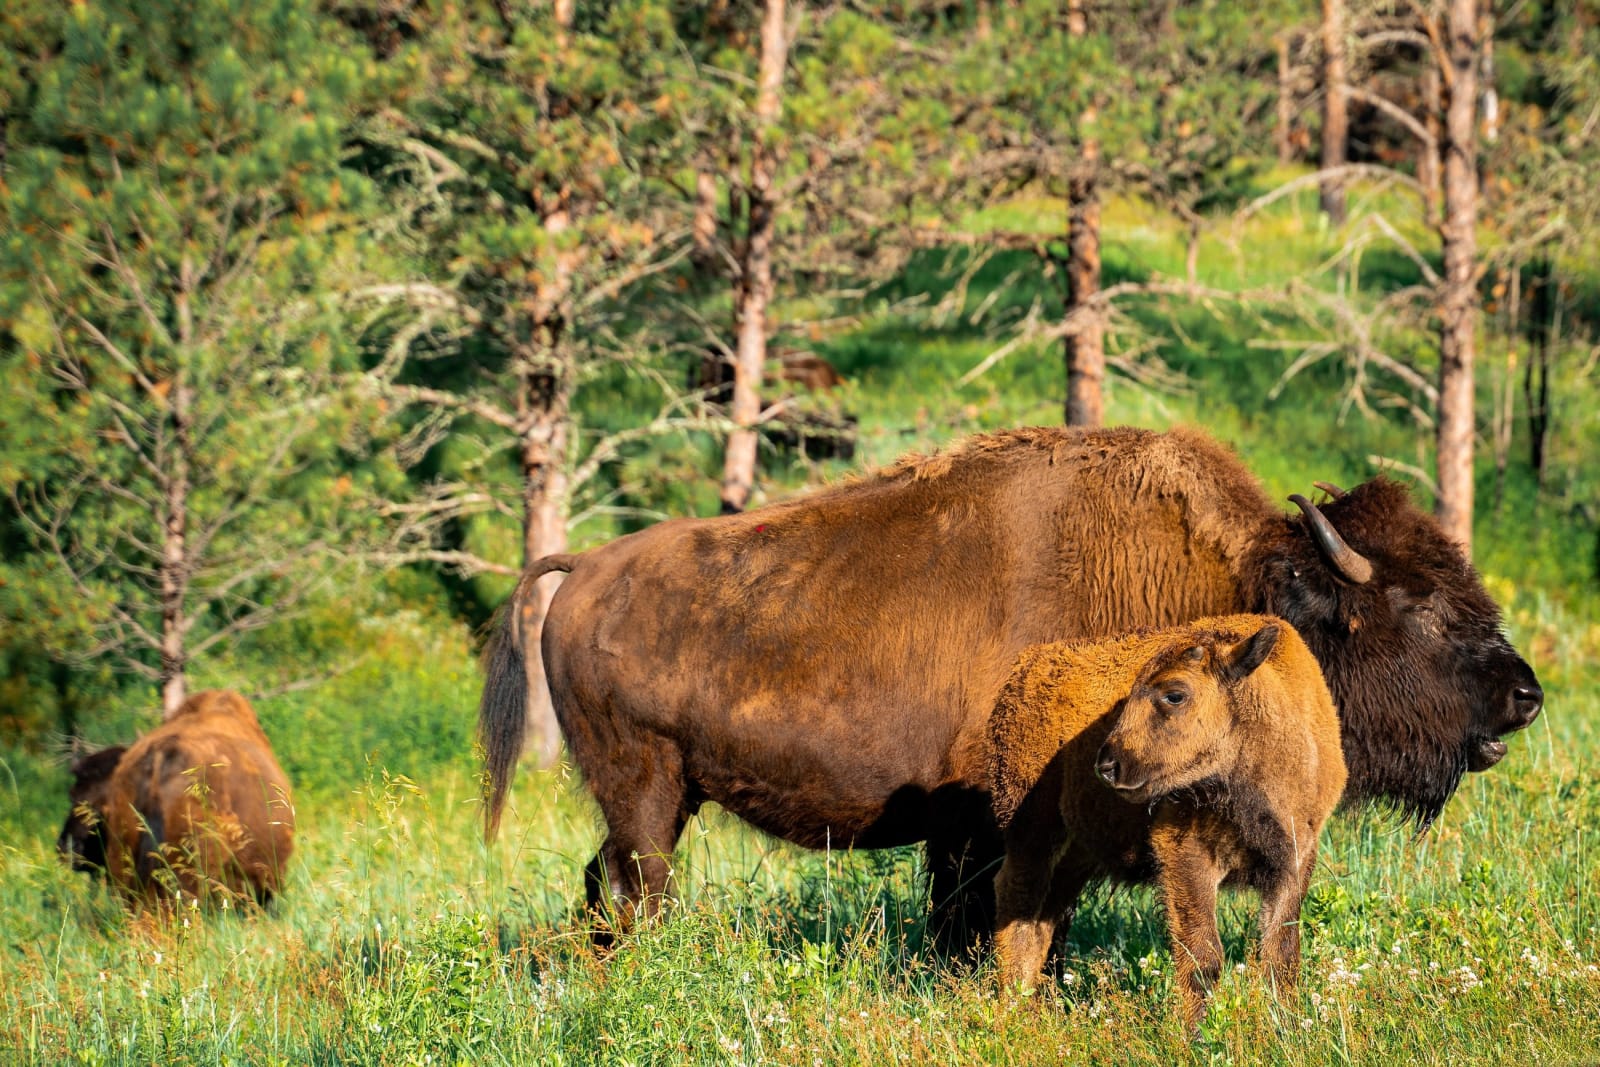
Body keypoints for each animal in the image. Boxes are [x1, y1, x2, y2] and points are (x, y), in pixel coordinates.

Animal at [477, 425, 1542, 943]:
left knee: (603, 884)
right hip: (647, 794)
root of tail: (583, 568)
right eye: (1419, 608)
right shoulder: (996, 821)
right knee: (638, 888)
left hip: (663, 796)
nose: (1524, 695)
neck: (1237, 586)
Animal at [988, 616, 1346, 1031]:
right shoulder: (1185, 855)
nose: (1108, 766)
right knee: (1018, 905)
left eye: (1174, 695)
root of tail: (1025, 669)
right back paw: (1013, 1011)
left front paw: (1287, 1028)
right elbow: (1203, 955)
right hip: (1031, 831)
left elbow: (1280, 955)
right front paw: (1197, 1034)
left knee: (1044, 915)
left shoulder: (1295, 859)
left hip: (1076, 852)